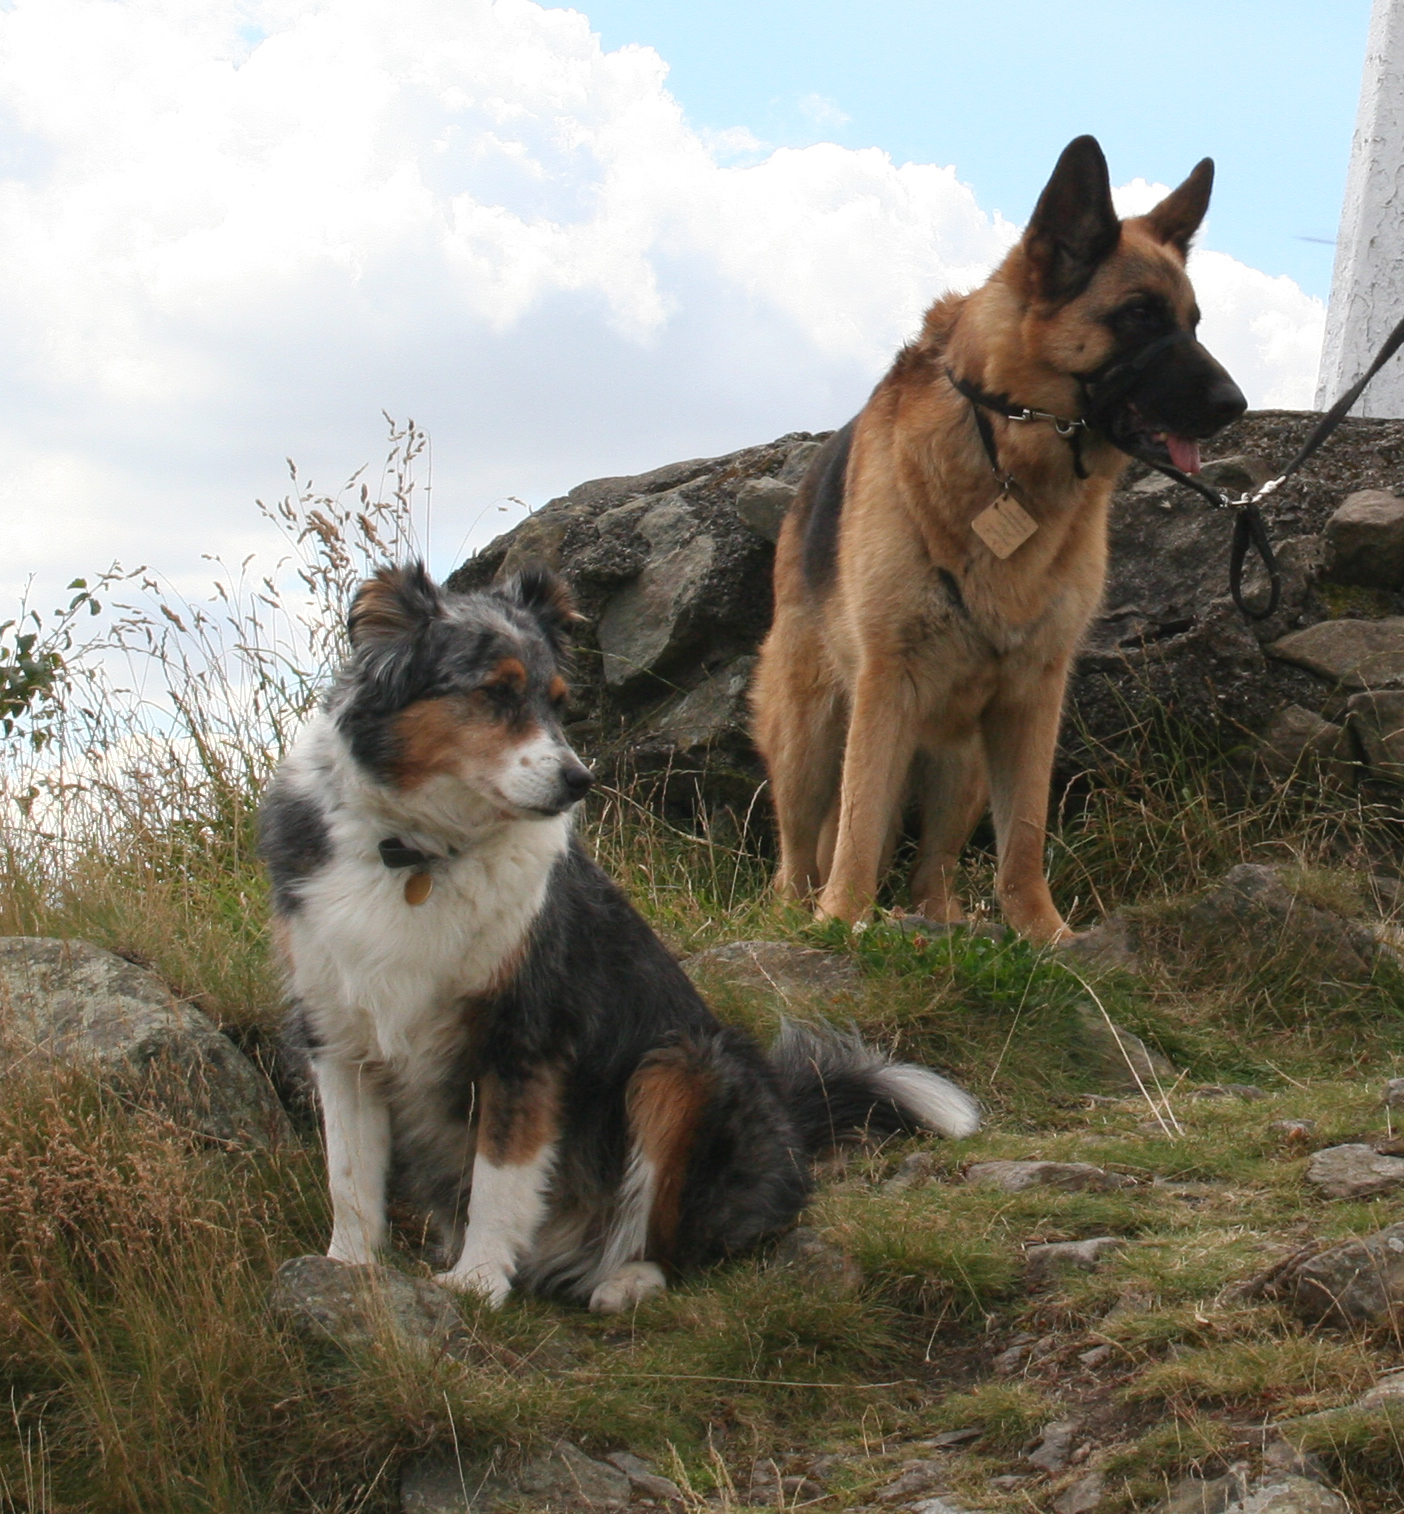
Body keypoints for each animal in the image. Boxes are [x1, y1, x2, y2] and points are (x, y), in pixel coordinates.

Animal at [260, 569, 975, 1314]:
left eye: (557, 702)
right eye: (495, 691)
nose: (581, 781)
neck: (421, 858)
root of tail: (790, 1123)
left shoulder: (526, 1037)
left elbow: (500, 1174)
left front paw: (479, 1281)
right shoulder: (340, 1037)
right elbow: (350, 1176)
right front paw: (349, 1269)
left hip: (680, 1069)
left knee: (680, 1240)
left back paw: (625, 1280)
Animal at [751, 136, 1248, 938]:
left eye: (1194, 323)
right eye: (1140, 316)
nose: (1236, 405)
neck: (1005, 444)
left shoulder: (1030, 702)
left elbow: (1024, 839)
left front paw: (1041, 933)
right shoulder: (886, 688)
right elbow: (859, 824)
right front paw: (843, 919)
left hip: (964, 766)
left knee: (934, 867)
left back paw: (943, 923)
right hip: (811, 737)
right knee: (800, 851)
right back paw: (802, 915)